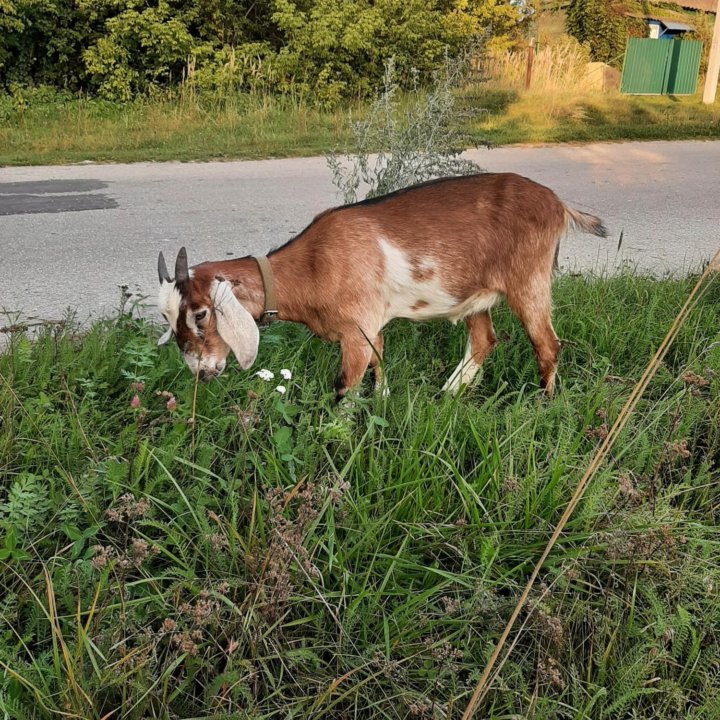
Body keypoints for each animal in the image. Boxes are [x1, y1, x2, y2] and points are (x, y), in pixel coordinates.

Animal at [156, 174, 608, 400]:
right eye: (168, 319)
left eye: (201, 313)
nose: (199, 372)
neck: (312, 264)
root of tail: (559, 204)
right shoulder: (369, 327)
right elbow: (379, 362)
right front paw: (385, 399)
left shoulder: (356, 331)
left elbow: (344, 387)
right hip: (476, 294)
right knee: (485, 339)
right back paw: (449, 394)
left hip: (529, 280)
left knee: (547, 344)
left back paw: (543, 403)